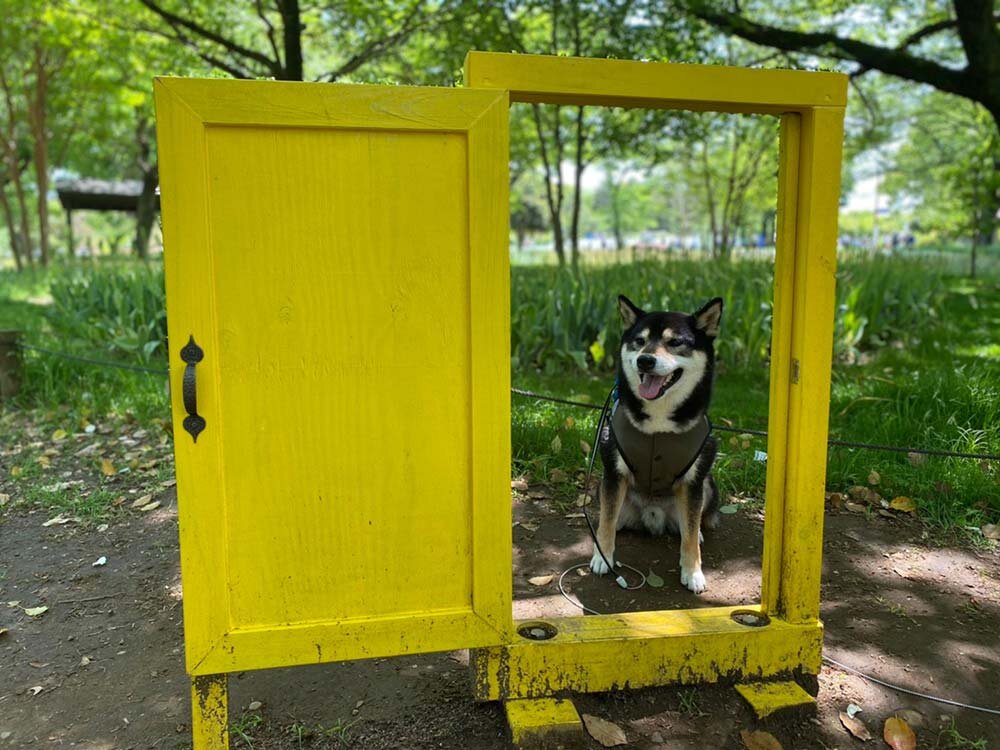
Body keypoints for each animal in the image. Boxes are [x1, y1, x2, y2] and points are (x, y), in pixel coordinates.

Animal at [588, 296, 724, 596]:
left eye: (675, 342)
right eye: (639, 341)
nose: (645, 360)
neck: (658, 425)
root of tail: (653, 514)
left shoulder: (693, 480)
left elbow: (689, 535)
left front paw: (693, 572)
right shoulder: (613, 473)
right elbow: (605, 523)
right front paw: (602, 557)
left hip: (707, 485)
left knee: (692, 522)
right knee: (611, 516)